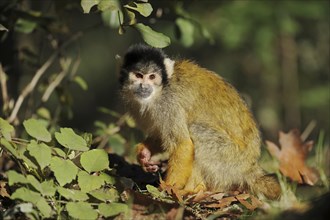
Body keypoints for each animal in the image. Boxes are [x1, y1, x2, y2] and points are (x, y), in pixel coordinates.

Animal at [118, 44, 282, 199]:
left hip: (232, 161)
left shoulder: (168, 104)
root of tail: (251, 167)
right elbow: (161, 135)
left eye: (152, 77)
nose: (144, 86)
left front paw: (166, 188)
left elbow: (183, 144)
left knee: (196, 131)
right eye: (139, 75)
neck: (160, 91)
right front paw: (144, 154)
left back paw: (194, 190)